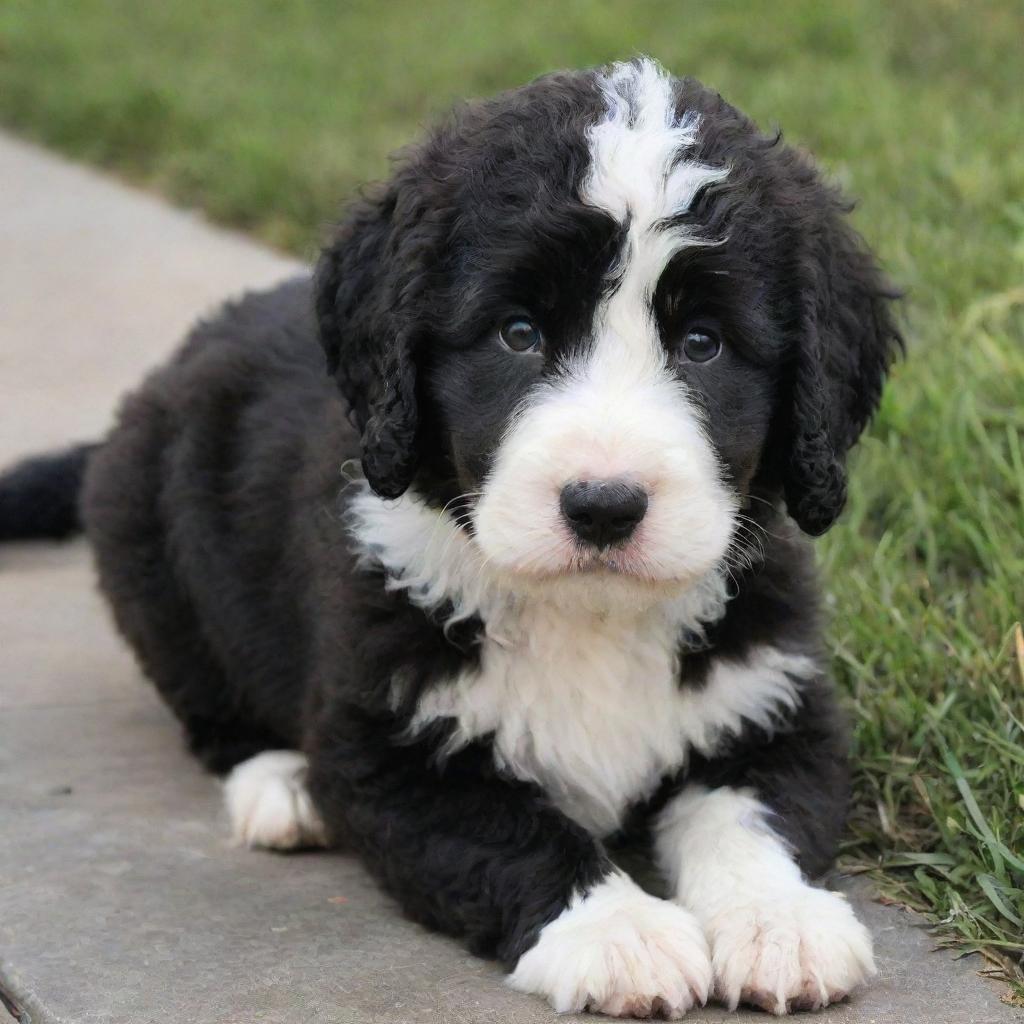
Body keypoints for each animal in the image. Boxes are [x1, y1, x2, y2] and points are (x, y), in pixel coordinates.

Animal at [0, 59, 897, 1019]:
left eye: (703, 343)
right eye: (518, 333)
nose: (604, 505)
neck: (587, 615)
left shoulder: (773, 698)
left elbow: (754, 809)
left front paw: (778, 921)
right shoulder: (387, 746)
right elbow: (515, 831)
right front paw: (617, 932)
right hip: (150, 554)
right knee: (209, 703)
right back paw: (279, 785)